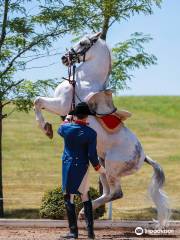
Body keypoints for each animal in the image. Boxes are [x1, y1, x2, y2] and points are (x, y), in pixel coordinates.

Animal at [33, 32, 170, 227]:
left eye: (83, 43)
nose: (64, 58)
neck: (82, 80)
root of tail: (143, 156)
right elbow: (38, 101)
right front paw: (47, 127)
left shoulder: (60, 104)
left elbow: (38, 101)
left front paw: (46, 128)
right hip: (100, 161)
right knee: (107, 192)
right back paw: (84, 212)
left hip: (112, 167)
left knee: (116, 192)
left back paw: (84, 211)